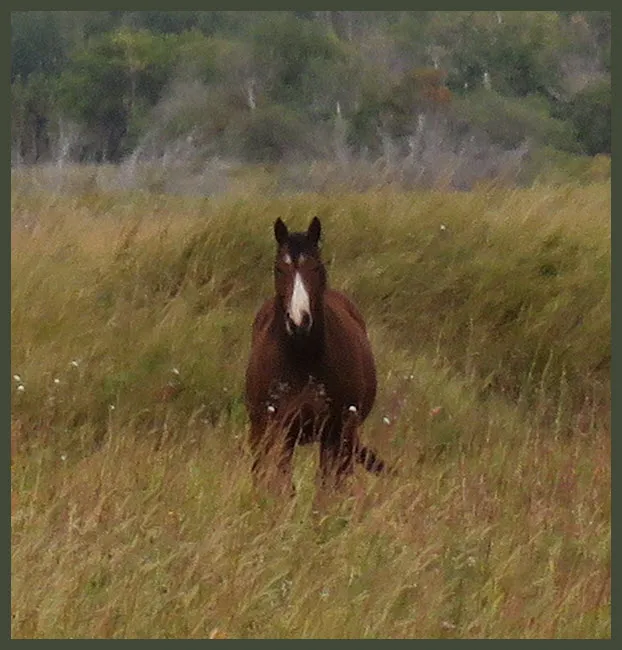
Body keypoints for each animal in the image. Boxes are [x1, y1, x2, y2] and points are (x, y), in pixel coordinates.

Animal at [245, 215, 388, 494]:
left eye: (316, 267)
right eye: (279, 269)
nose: (299, 321)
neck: (304, 358)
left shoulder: (336, 431)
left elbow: (328, 486)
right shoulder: (283, 430)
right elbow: (284, 483)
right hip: (260, 429)